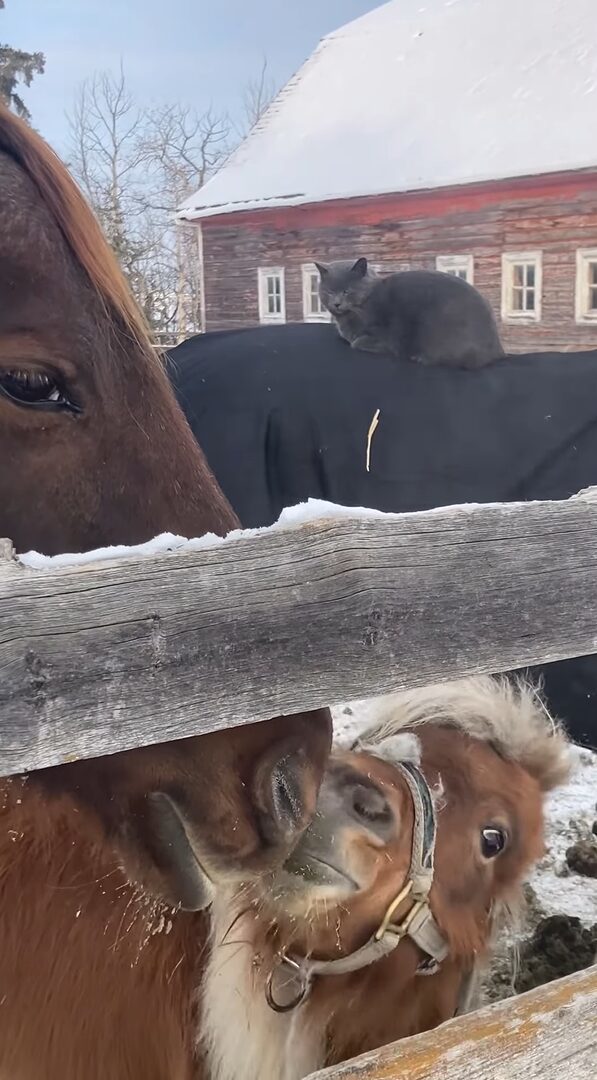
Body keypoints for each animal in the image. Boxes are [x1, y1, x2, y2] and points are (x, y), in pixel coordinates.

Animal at [315, 259, 505, 369]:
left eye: (347, 291)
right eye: (329, 292)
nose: (336, 303)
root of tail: (498, 349)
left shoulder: (386, 337)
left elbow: (356, 342)